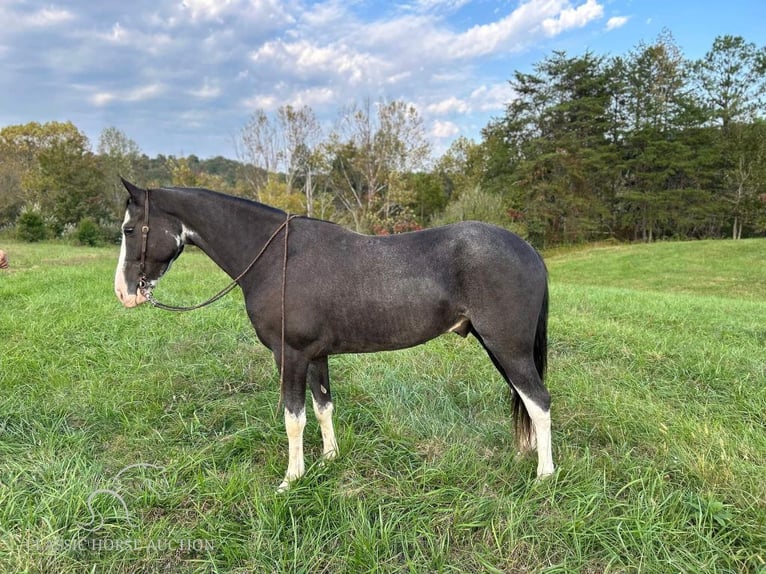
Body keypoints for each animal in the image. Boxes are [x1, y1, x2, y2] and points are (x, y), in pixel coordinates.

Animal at [114, 180, 556, 490]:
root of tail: (528, 250)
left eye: (130, 229)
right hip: (499, 348)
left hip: (507, 347)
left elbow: (294, 417)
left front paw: (291, 479)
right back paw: (527, 455)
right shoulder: (315, 355)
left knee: (539, 401)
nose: (123, 292)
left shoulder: (289, 355)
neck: (276, 258)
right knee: (524, 399)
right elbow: (323, 406)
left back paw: (544, 475)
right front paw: (329, 458)